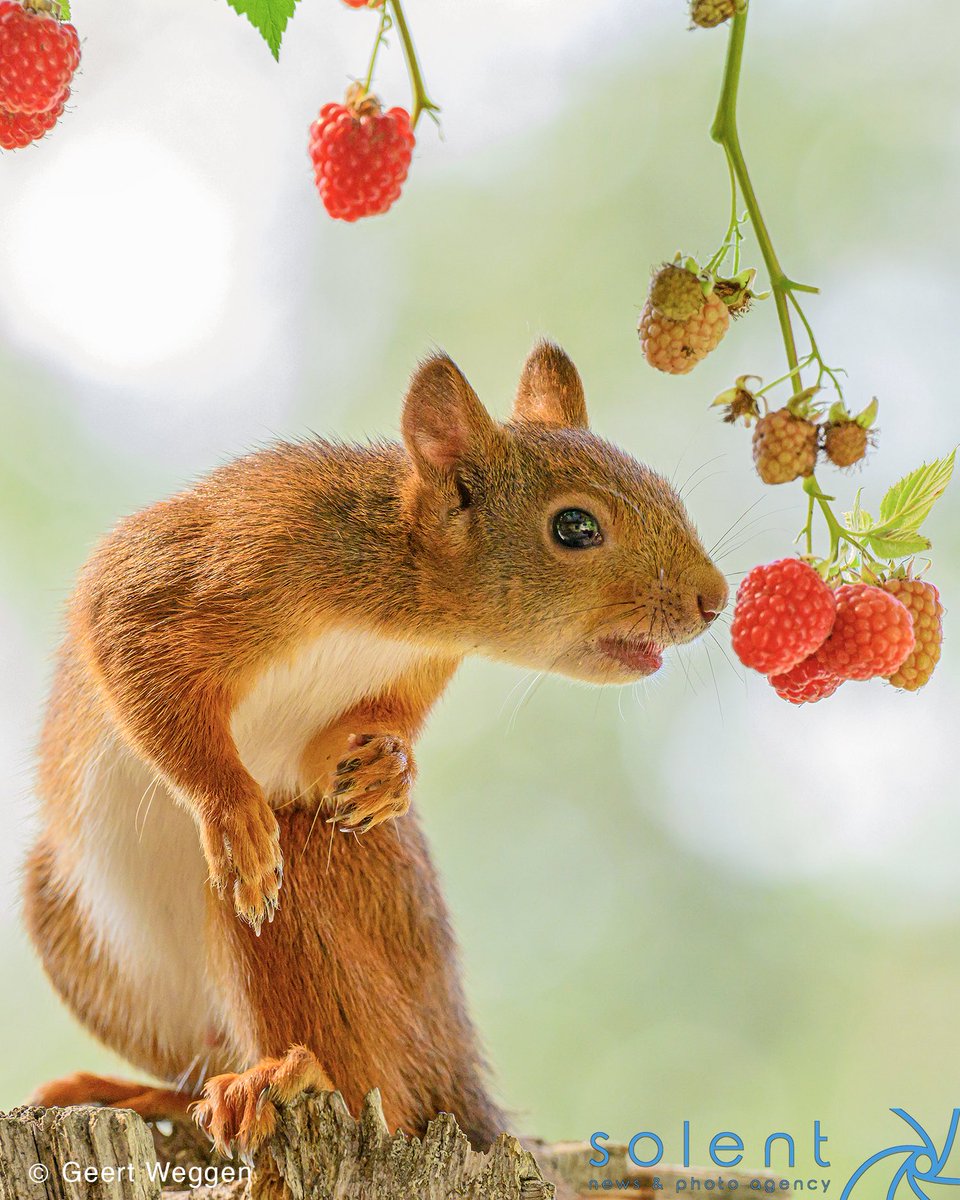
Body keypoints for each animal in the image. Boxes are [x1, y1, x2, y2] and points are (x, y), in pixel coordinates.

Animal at [24, 342, 728, 1155]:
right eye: (576, 527)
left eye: (668, 492)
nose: (716, 600)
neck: (396, 608)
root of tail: (454, 1070)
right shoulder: (217, 564)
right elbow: (132, 646)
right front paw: (231, 812)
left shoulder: (415, 670)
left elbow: (366, 731)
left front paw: (390, 772)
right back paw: (187, 1085)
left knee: (381, 1087)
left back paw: (282, 1074)